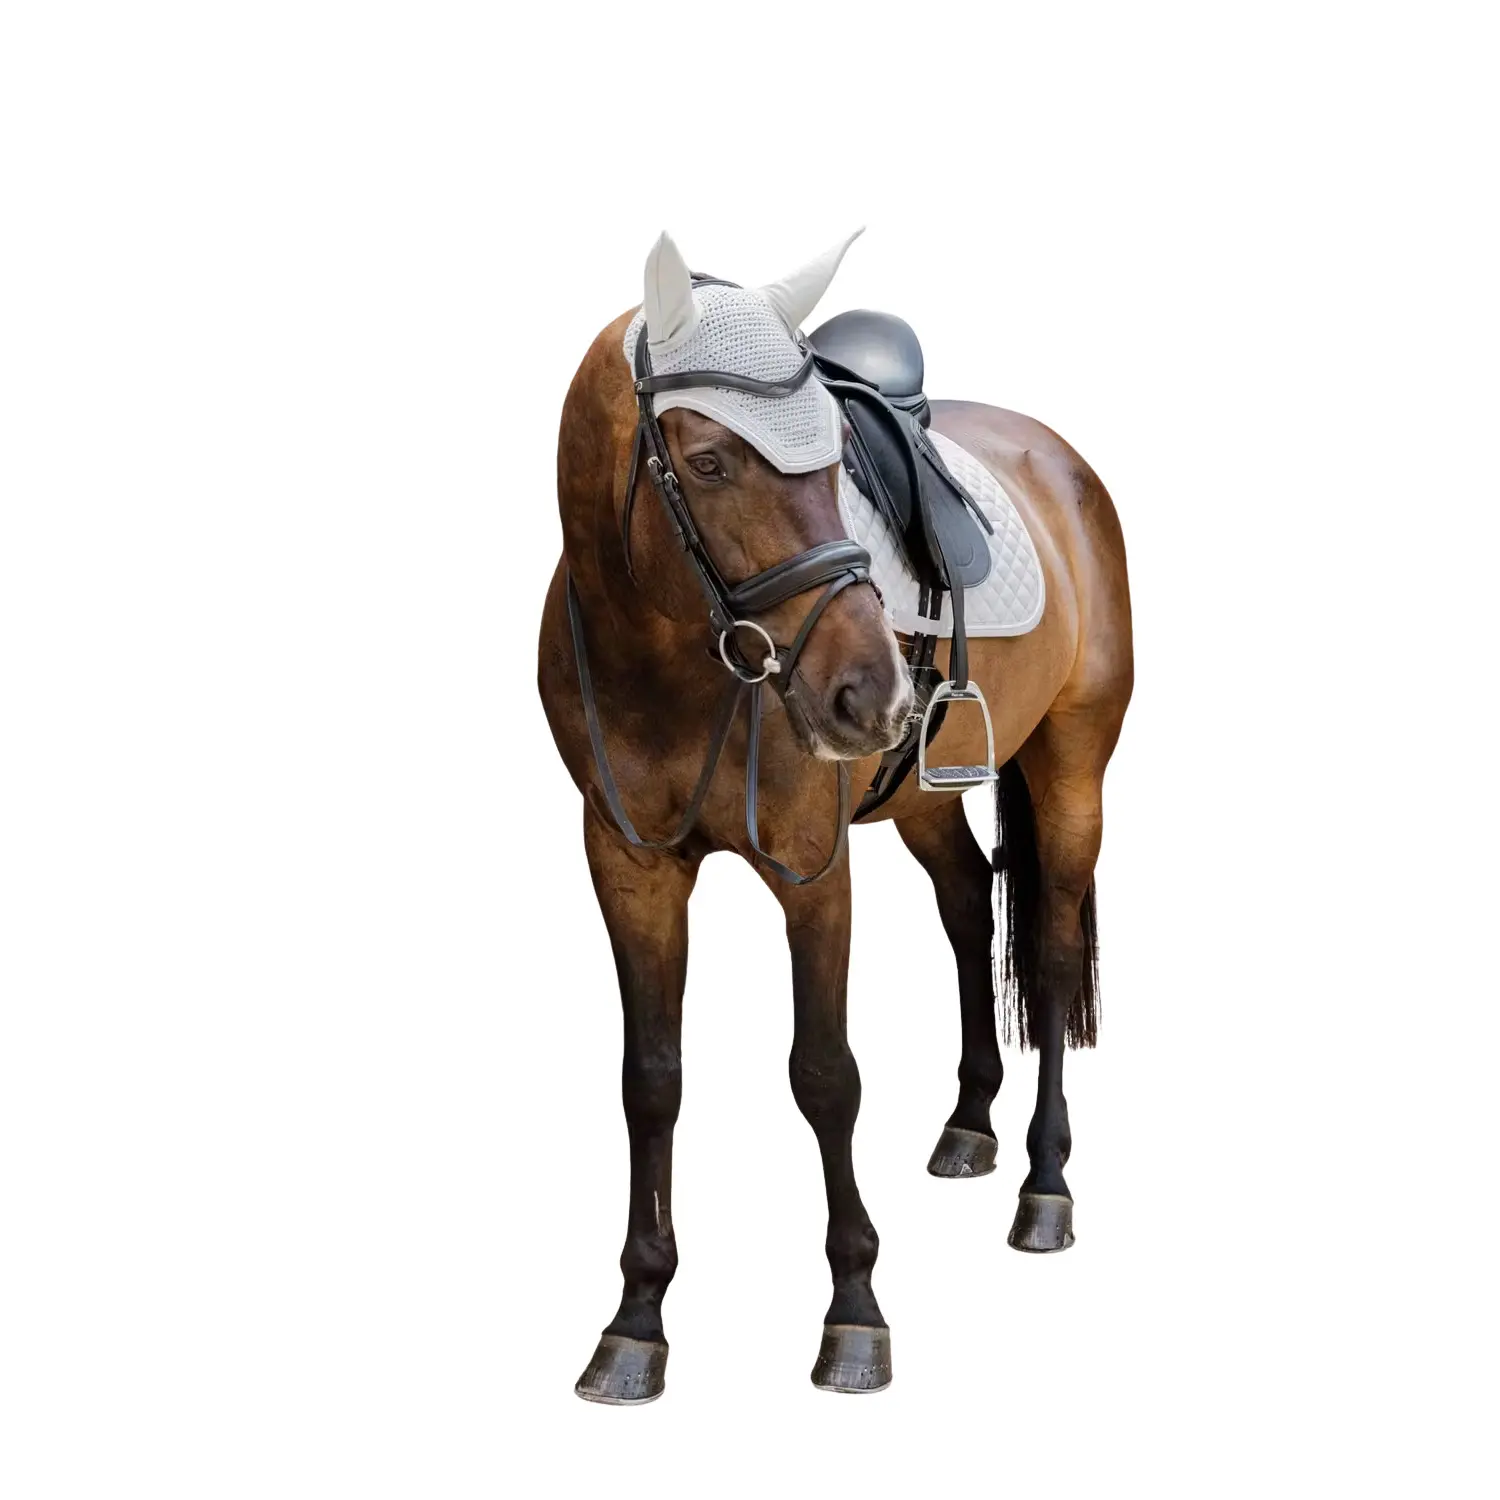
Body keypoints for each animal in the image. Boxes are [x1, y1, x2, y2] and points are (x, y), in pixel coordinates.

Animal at [537, 230, 1133, 1402]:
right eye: (708, 461)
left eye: (831, 462)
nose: (874, 695)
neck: (667, 655)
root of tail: (1063, 464)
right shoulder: (626, 860)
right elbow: (650, 1079)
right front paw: (635, 1323)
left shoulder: (811, 867)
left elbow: (824, 1074)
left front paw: (854, 1312)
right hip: (920, 799)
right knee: (969, 904)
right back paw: (968, 1127)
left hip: (1072, 763)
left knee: (1046, 952)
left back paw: (1044, 1189)